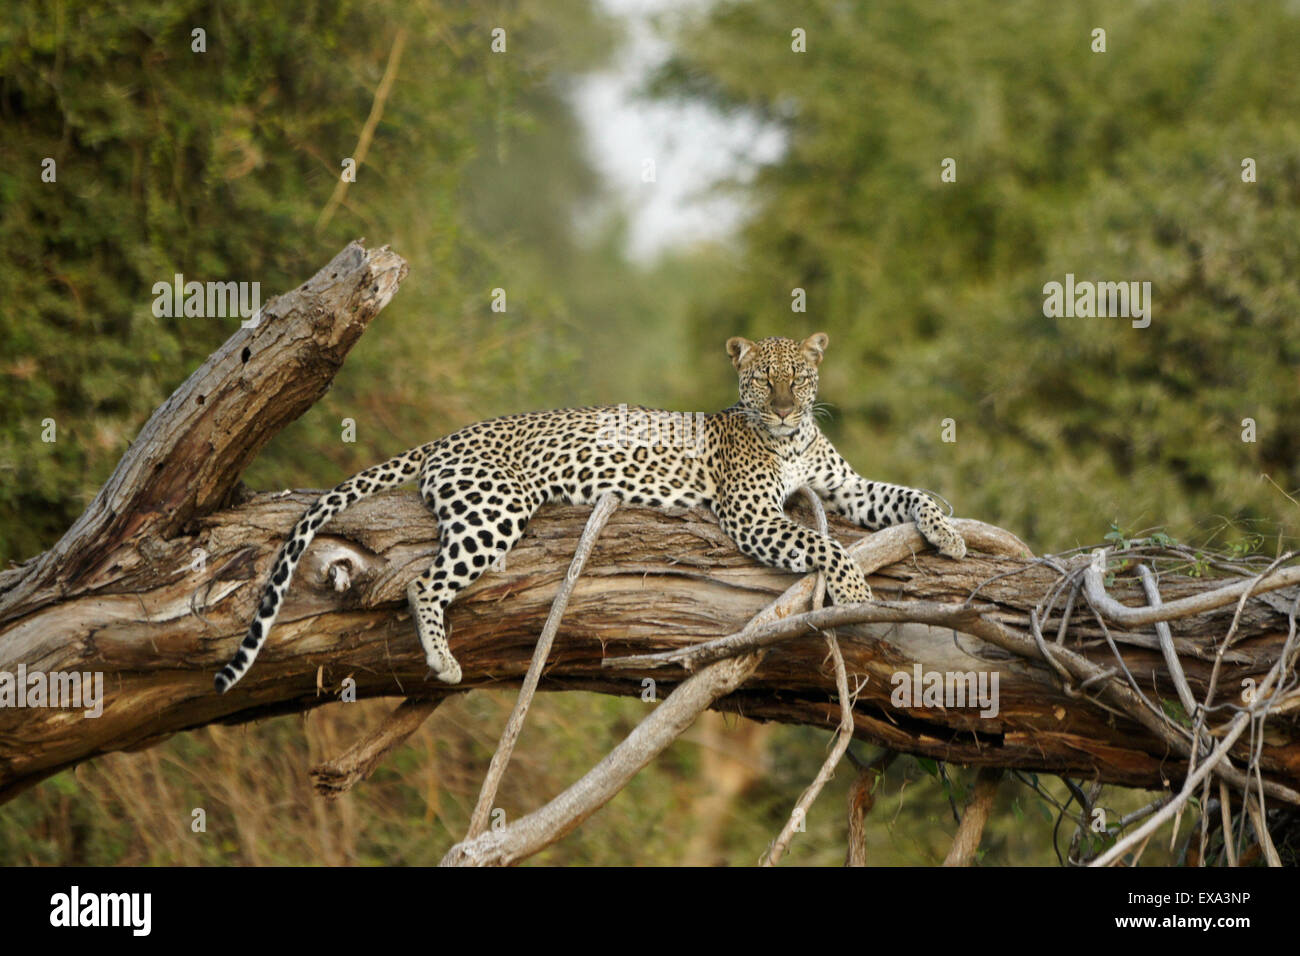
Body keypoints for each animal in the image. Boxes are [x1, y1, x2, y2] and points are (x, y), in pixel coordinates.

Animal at [213, 332, 967, 691]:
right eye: (762, 379)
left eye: (801, 378)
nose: (784, 408)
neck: (792, 439)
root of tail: (452, 435)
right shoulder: (752, 518)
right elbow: (830, 546)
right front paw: (859, 595)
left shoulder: (846, 487)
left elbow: (909, 495)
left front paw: (951, 535)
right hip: (497, 508)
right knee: (424, 582)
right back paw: (444, 661)